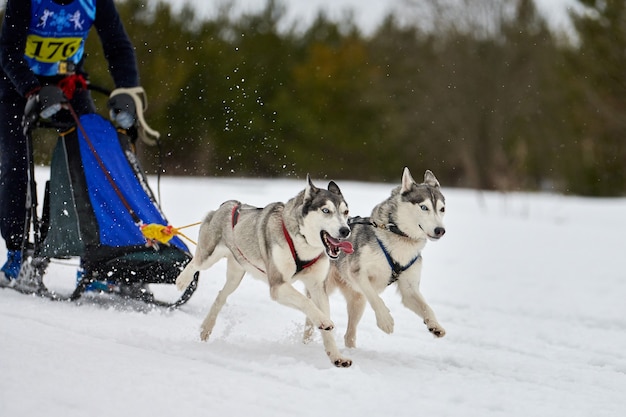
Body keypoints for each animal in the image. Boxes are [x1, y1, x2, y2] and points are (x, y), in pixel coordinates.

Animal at [176, 176, 354, 368]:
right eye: (326, 210)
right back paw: (182, 280)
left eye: (346, 212)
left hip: (236, 275)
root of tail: (230, 203)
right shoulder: (277, 285)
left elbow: (321, 318)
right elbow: (306, 302)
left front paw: (336, 356)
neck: (302, 243)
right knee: (195, 263)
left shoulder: (317, 287)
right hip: (209, 256)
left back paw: (206, 328)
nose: (346, 230)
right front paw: (323, 320)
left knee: (221, 296)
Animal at [304, 168, 444, 348]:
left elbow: (427, 307)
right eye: (424, 207)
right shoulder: (358, 273)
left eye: (442, 209)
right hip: (322, 292)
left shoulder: (409, 289)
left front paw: (435, 325)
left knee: (349, 335)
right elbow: (375, 297)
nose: (440, 230)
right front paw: (385, 320)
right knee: (311, 321)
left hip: (357, 302)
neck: (399, 238)